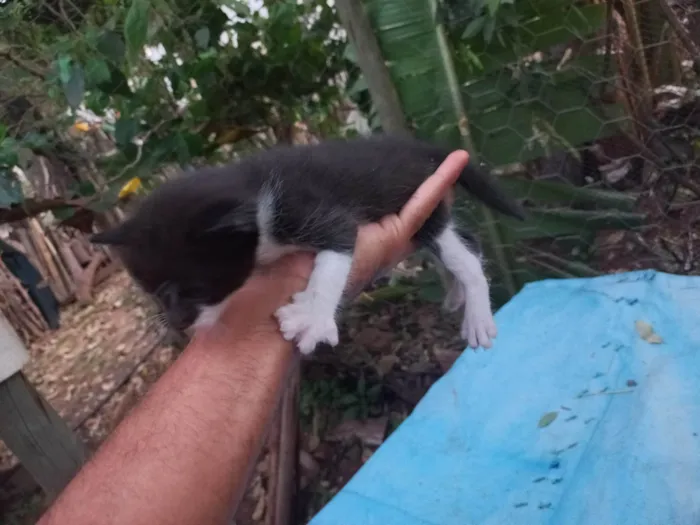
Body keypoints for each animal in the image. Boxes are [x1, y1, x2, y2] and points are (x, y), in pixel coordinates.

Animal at [90, 135, 524, 354]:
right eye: (154, 295)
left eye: (193, 289)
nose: (178, 322)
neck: (249, 191)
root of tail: (417, 147)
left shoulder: (307, 208)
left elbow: (334, 256)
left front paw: (313, 318)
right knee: (462, 242)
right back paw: (455, 291)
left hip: (423, 207)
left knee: (464, 253)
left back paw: (477, 313)